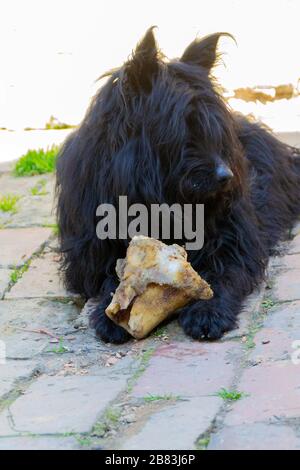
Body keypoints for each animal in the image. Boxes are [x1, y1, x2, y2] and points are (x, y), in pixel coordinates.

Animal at [56, 27, 300, 344]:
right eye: (181, 131)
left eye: (214, 129)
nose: (226, 176)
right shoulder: (91, 254)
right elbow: (109, 275)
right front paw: (112, 313)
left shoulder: (233, 235)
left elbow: (224, 268)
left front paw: (208, 311)